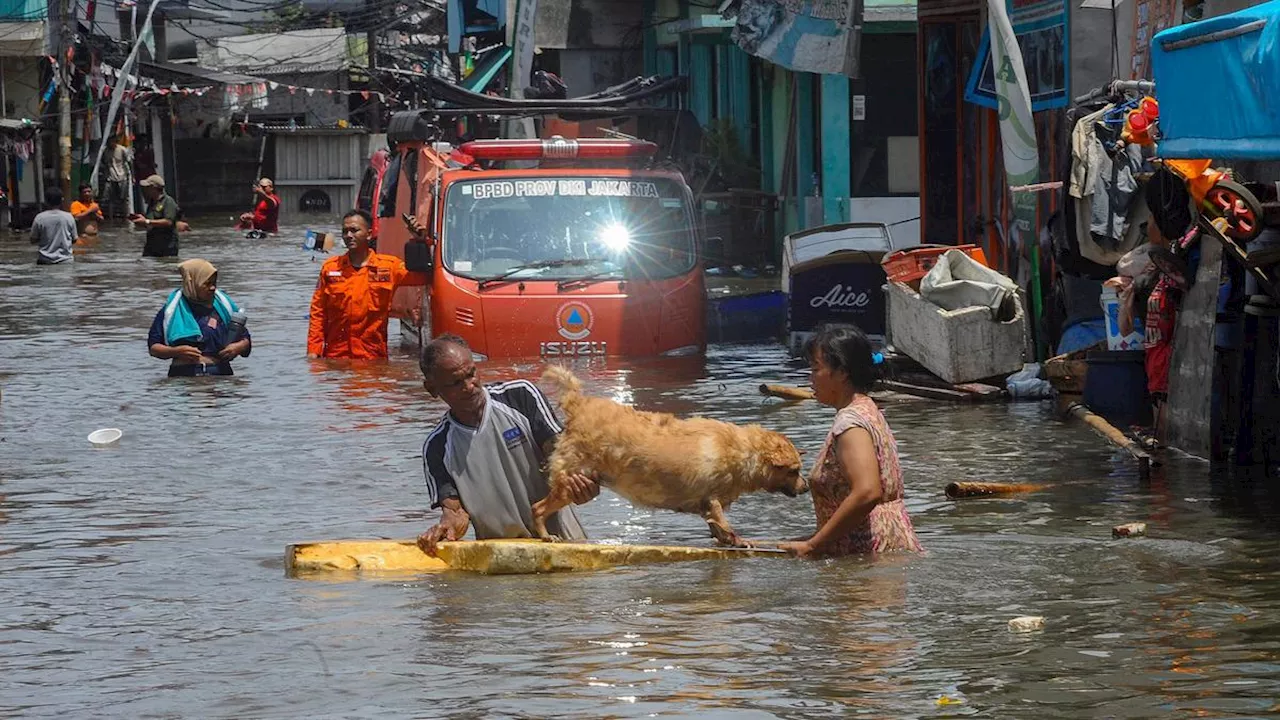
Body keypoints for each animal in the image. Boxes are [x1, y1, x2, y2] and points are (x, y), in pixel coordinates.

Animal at [535, 366, 803, 540]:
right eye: (794, 471)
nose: (805, 487)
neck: (743, 452)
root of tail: (579, 405)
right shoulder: (712, 496)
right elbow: (723, 521)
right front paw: (736, 538)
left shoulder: (706, 503)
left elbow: (716, 525)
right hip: (569, 481)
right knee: (537, 508)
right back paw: (545, 534)